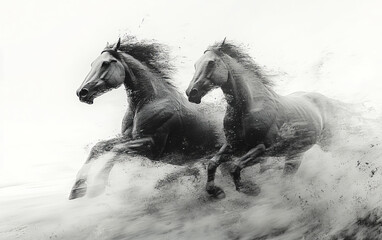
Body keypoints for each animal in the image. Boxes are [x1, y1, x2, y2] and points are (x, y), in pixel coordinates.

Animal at [68, 36, 221, 200]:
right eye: (92, 64)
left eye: (106, 63)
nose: (82, 92)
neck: (150, 101)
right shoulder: (129, 138)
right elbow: (98, 147)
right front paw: (77, 190)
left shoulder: (151, 146)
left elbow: (117, 149)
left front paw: (97, 187)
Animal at [186, 39, 338, 197]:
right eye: (195, 64)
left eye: (211, 63)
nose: (191, 93)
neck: (249, 107)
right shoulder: (233, 146)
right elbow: (212, 163)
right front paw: (216, 191)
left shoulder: (263, 149)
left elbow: (235, 166)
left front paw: (251, 189)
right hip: (295, 154)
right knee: (287, 177)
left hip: (327, 144)